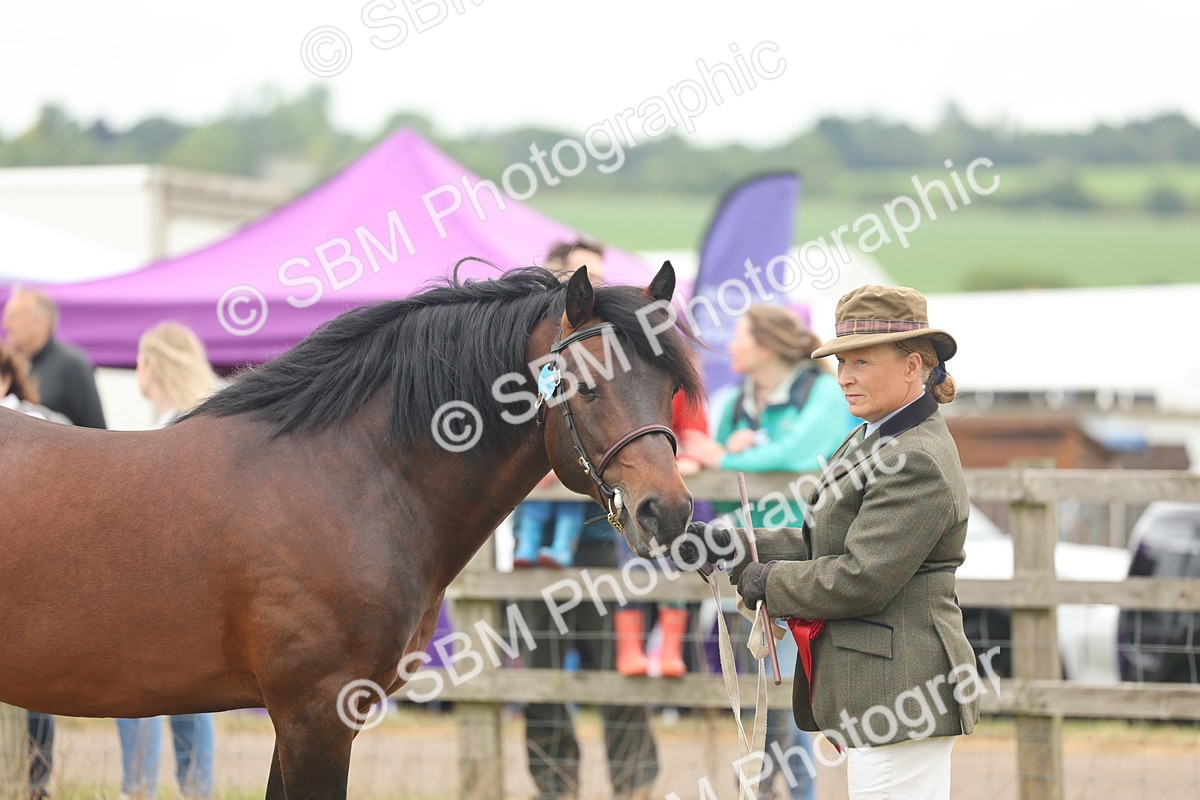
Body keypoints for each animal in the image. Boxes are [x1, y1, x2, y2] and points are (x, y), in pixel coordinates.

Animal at [0, 262, 702, 798]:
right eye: (585, 386)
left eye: (670, 385)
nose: (665, 510)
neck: (350, 480)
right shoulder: (316, 717)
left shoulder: (303, 721)